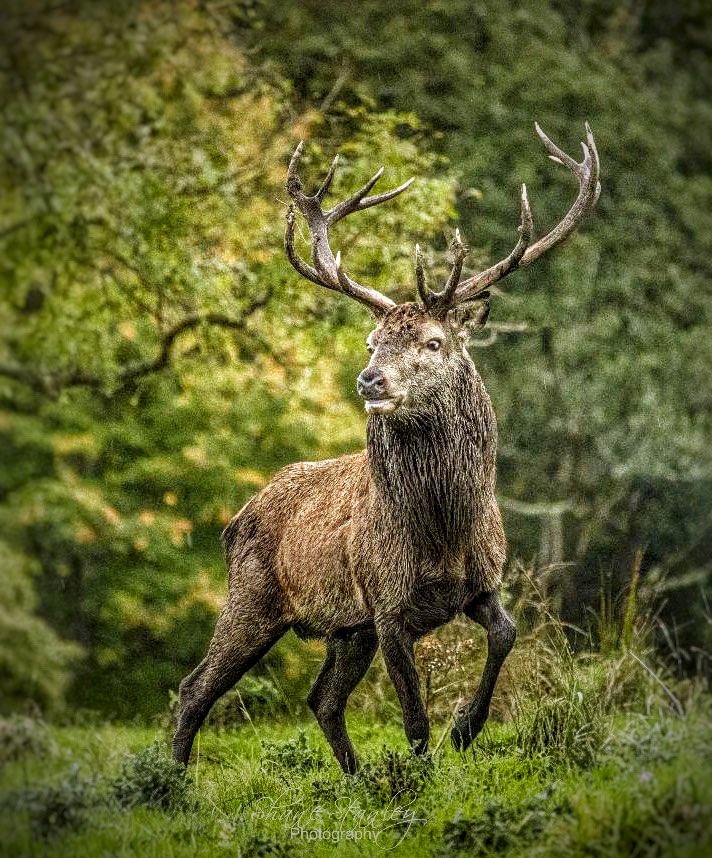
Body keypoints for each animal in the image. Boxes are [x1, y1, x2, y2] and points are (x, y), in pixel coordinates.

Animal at [173, 122, 601, 773]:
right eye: (373, 341)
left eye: (432, 341)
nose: (368, 379)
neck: (442, 530)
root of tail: (237, 518)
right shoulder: (388, 605)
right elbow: (414, 718)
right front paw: (422, 773)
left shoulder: (479, 586)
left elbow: (506, 636)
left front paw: (466, 727)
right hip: (254, 597)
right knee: (195, 687)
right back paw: (170, 781)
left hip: (348, 630)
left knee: (321, 698)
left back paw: (354, 777)